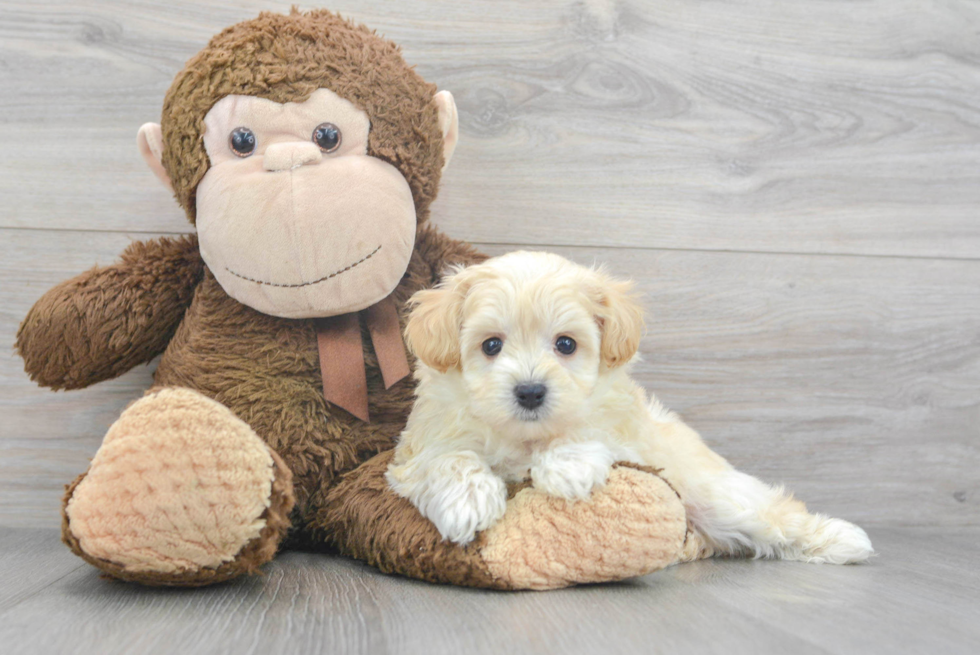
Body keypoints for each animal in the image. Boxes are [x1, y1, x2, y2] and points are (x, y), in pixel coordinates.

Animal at [384, 251, 872, 564]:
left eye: (566, 344)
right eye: (490, 346)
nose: (530, 392)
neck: (525, 436)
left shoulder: (628, 434)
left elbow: (590, 429)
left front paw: (567, 466)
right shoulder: (418, 446)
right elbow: (447, 458)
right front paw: (469, 500)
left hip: (714, 494)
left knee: (771, 515)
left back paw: (843, 540)